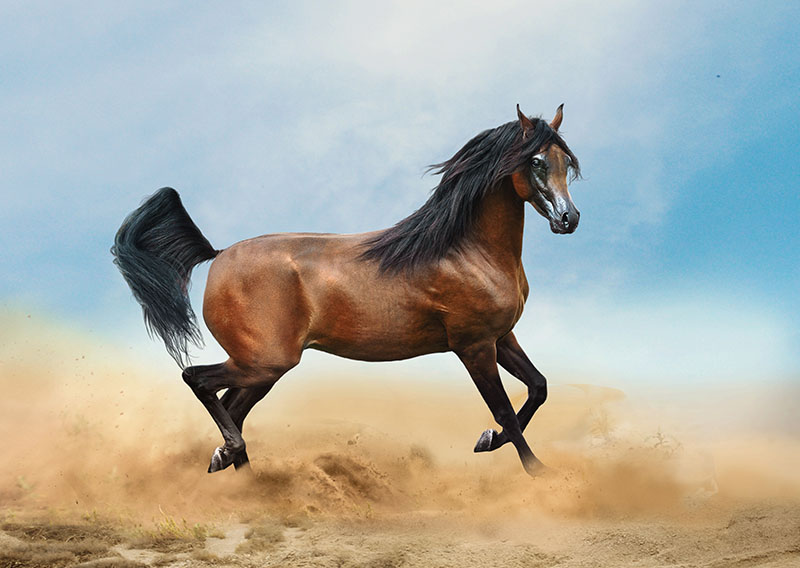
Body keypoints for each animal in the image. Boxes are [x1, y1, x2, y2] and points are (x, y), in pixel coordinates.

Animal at [112, 104, 581, 477]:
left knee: (233, 405)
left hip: (261, 367)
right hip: (265, 362)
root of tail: (219, 254)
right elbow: (505, 411)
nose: (569, 218)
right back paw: (234, 458)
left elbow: (538, 388)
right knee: (199, 381)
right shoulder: (474, 346)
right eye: (536, 161)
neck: (464, 250)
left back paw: (238, 471)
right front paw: (538, 472)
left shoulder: (502, 337)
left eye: (566, 160)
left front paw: (488, 440)